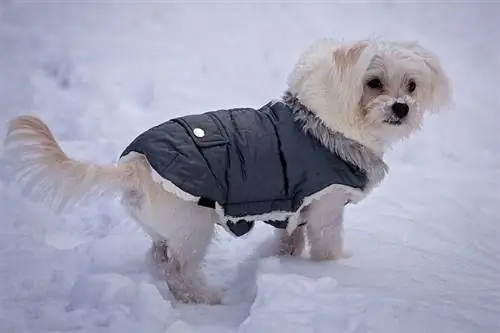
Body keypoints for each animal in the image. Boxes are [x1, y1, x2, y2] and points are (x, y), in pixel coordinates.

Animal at [0, 38, 454, 304]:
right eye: (373, 83)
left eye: (411, 86)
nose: (402, 108)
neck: (322, 124)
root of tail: (135, 165)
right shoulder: (326, 206)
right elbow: (326, 245)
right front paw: (336, 270)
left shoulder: (293, 210)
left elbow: (290, 240)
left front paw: (285, 260)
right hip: (194, 225)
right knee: (180, 272)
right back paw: (207, 297)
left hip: (168, 228)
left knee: (159, 255)